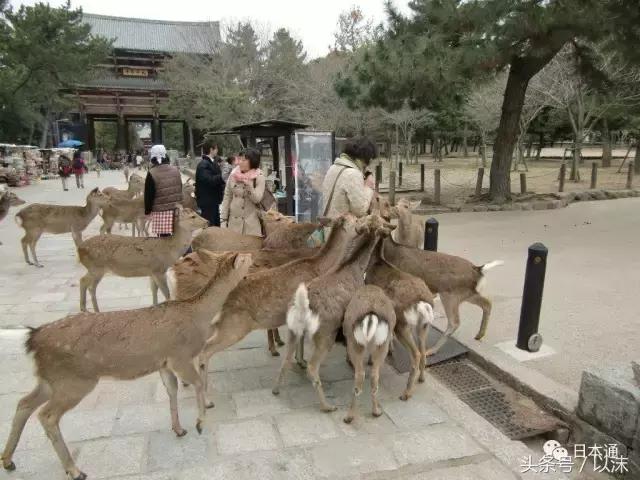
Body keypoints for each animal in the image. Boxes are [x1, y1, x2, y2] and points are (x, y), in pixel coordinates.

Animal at [0, 251, 253, 480]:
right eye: (247, 258)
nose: (253, 261)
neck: (198, 315)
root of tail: (32, 339)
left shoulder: (163, 361)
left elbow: (172, 389)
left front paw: (179, 429)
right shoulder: (179, 356)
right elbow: (198, 383)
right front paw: (200, 423)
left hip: (49, 378)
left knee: (24, 403)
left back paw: (8, 460)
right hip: (74, 381)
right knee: (47, 415)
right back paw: (74, 470)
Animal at [77, 208, 208, 313]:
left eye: (197, 213)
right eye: (192, 216)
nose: (207, 221)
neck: (169, 251)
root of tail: (79, 249)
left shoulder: (151, 271)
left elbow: (154, 290)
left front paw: (154, 305)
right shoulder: (158, 269)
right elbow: (166, 293)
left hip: (96, 269)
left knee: (89, 285)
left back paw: (92, 310)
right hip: (96, 267)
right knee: (85, 282)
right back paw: (87, 310)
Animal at [271, 215, 393, 413]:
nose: (390, 228)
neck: (356, 267)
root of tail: (302, 307)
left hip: (292, 329)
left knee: (287, 357)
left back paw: (276, 389)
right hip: (325, 333)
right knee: (313, 367)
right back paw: (328, 406)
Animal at [342, 285, 396, 423]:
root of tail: (371, 316)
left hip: (356, 343)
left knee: (362, 375)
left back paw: (350, 416)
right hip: (381, 345)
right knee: (372, 375)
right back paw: (375, 412)